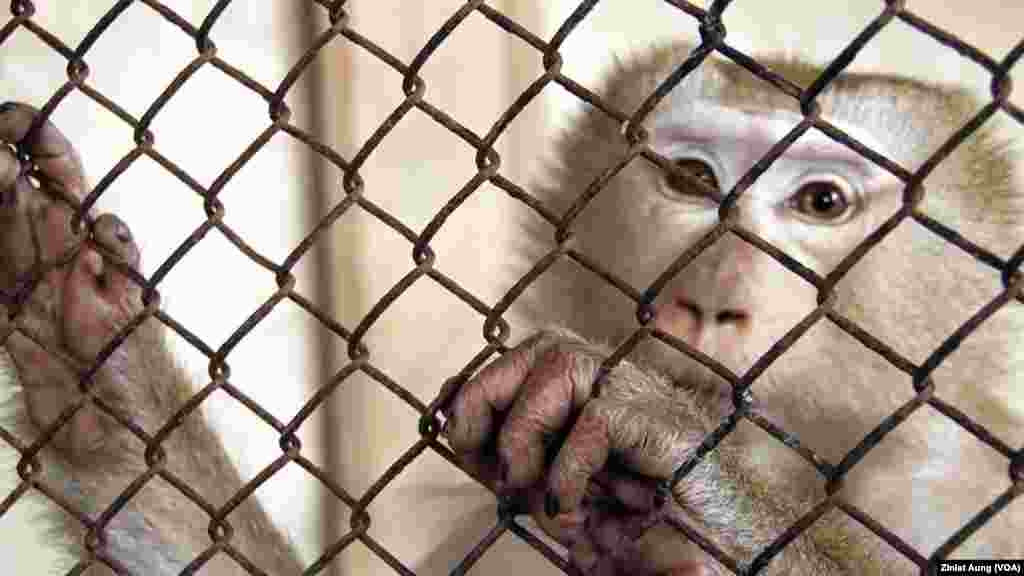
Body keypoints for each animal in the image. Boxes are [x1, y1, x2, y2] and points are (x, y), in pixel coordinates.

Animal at [0, 41, 1019, 573]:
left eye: (822, 202)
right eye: (692, 179)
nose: (710, 301)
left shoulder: (960, 484)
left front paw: (660, 435)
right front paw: (88, 349)